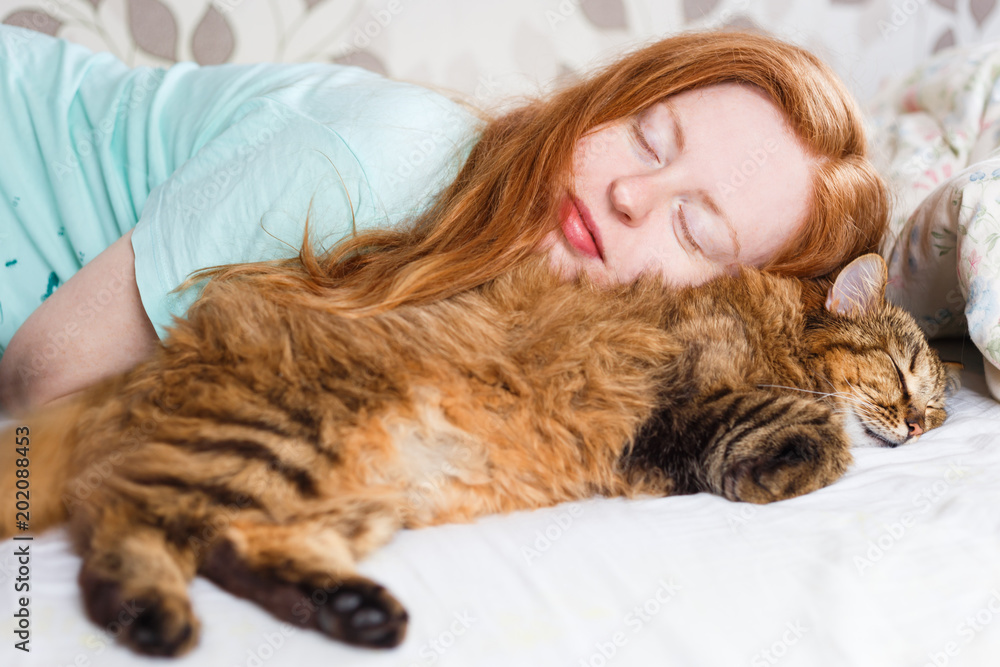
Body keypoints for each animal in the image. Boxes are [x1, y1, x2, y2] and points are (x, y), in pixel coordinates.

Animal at [0, 253, 956, 656]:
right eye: (903, 374)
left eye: (940, 410)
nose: (917, 425)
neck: (771, 333)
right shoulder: (678, 396)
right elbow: (793, 426)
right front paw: (805, 452)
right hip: (270, 441)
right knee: (125, 528)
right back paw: (153, 616)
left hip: (341, 490)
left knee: (234, 546)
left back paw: (357, 612)